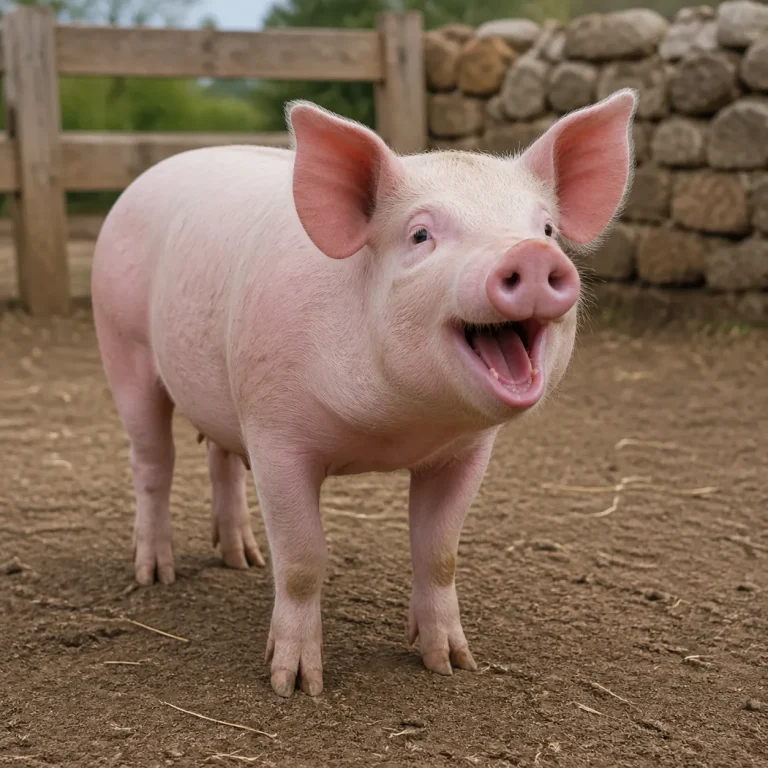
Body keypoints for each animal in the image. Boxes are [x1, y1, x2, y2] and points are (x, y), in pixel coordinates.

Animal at [92, 88, 637, 697]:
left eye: (545, 229)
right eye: (421, 234)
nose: (532, 255)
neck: (394, 429)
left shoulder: (467, 452)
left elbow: (439, 552)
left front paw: (451, 664)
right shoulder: (275, 434)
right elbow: (303, 558)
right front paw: (295, 685)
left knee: (220, 458)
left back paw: (244, 560)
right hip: (121, 341)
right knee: (152, 462)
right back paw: (155, 575)